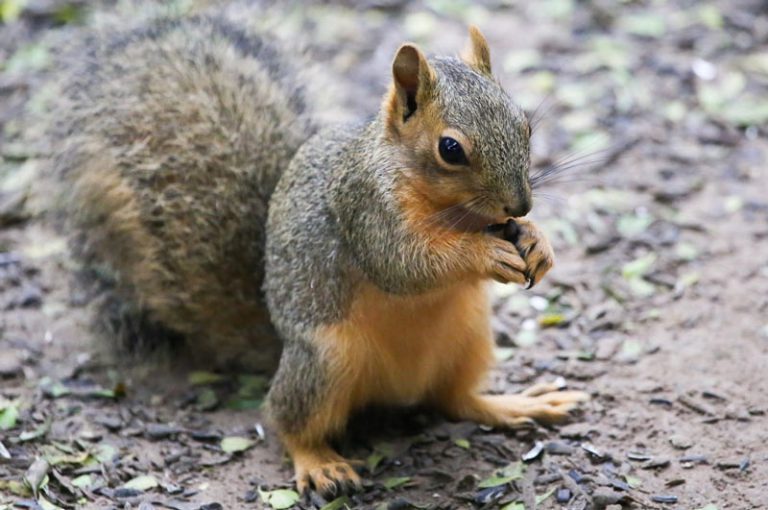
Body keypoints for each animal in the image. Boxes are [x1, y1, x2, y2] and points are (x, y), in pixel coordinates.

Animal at [51, 12, 592, 498]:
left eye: (525, 125)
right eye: (450, 149)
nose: (519, 206)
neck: (446, 206)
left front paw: (537, 242)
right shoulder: (365, 208)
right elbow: (405, 264)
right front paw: (484, 253)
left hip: (470, 337)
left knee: (454, 400)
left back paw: (513, 404)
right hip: (325, 362)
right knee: (286, 420)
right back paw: (319, 464)